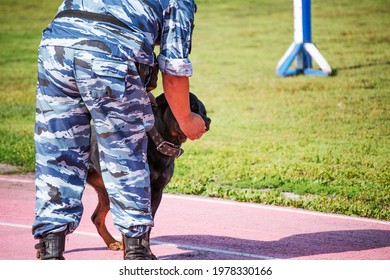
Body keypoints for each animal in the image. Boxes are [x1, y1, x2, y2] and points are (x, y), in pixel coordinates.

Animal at [85, 92, 210, 252]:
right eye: (192, 107)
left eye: (204, 111)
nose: (207, 120)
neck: (159, 144)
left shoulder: (156, 192)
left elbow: (147, 227)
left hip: (107, 190)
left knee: (96, 217)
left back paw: (112, 242)